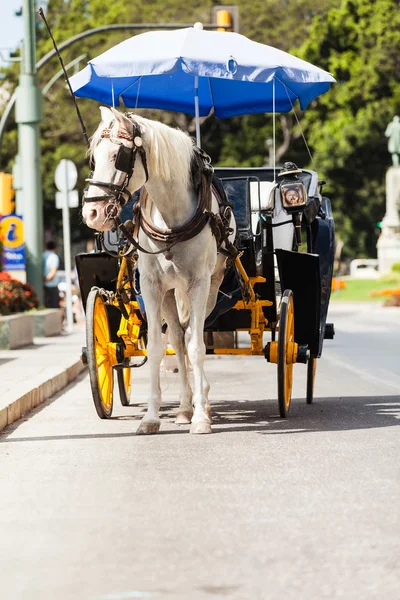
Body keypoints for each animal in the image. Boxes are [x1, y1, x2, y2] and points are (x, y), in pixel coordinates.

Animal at [83, 108, 236, 434]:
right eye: (94, 159)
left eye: (118, 156)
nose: (92, 213)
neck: (171, 217)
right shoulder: (153, 287)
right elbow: (156, 347)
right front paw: (152, 418)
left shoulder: (200, 283)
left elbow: (197, 347)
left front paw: (201, 417)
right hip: (169, 292)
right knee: (177, 338)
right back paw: (183, 407)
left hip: (212, 286)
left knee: (191, 336)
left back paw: (200, 402)